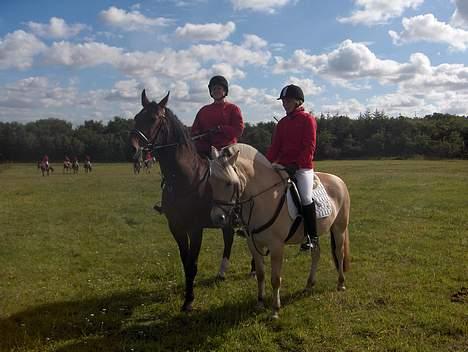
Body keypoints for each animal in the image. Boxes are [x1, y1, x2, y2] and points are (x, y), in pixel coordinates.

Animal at [131, 89, 239, 312]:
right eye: (137, 117)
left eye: (153, 118)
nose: (133, 148)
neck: (185, 178)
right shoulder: (176, 227)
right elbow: (185, 261)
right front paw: (187, 294)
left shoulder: (195, 229)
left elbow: (192, 263)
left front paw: (189, 299)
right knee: (229, 238)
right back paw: (222, 273)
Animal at [208, 144, 352, 320]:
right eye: (211, 182)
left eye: (229, 183)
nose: (217, 218)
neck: (264, 198)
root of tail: (338, 180)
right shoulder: (253, 245)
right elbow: (261, 274)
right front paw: (260, 303)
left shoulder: (276, 246)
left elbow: (275, 279)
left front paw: (275, 310)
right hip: (315, 234)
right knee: (316, 254)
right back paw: (309, 285)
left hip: (339, 228)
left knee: (339, 254)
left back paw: (341, 283)